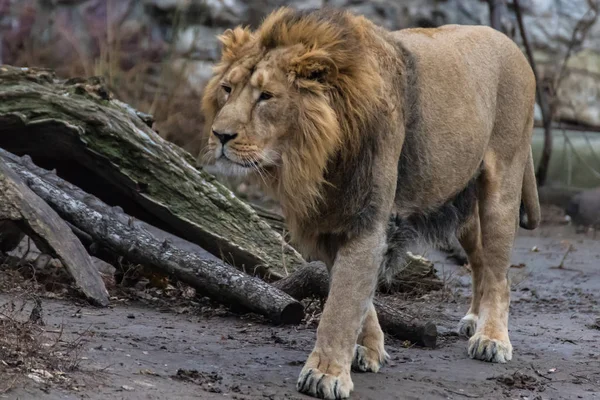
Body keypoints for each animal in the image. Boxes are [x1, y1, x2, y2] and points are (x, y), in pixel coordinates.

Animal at [199, 7, 540, 400]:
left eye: (266, 96)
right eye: (227, 89)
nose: (220, 135)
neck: (312, 156)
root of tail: (511, 44)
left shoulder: (366, 217)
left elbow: (342, 303)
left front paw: (326, 373)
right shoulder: (328, 221)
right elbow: (353, 295)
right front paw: (369, 349)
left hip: (502, 185)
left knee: (500, 273)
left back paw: (491, 338)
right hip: (465, 212)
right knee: (481, 261)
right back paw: (473, 319)